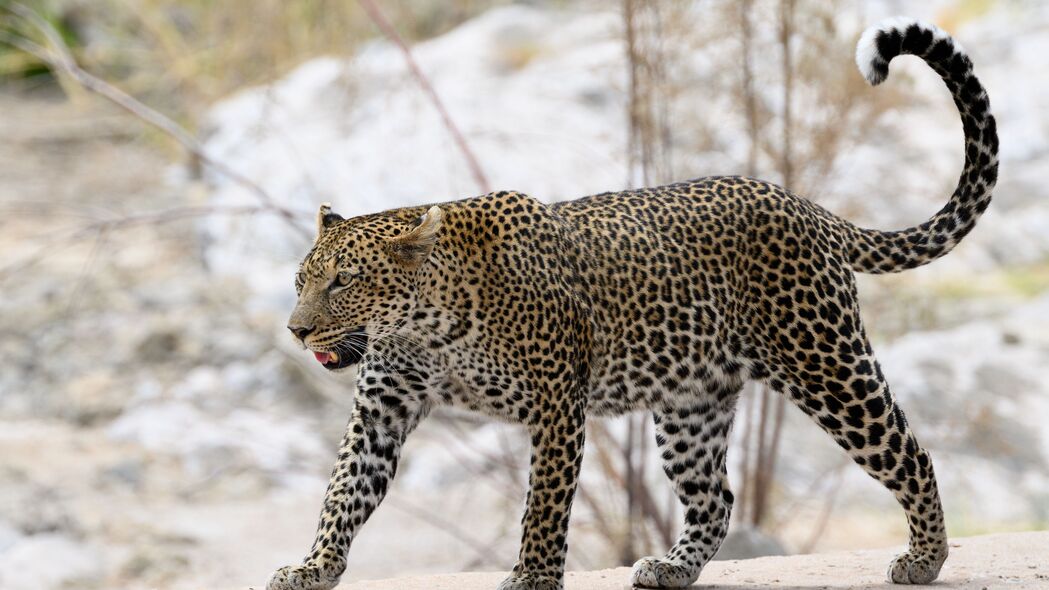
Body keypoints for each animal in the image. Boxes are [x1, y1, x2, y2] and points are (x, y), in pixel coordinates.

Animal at [264, 17, 998, 587]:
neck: (429, 327)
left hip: (825, 364)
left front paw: (531, 577)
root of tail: (806, 206)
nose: (296, 331)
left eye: (343, 282)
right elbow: (343, 490)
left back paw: (925, 559)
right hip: (690, 402)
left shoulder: (556, 403)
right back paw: (672, 567)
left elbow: (544, 505)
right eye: (302, 281)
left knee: (910, 453)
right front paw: (314, 567)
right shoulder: (382, 404)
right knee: (716, 498)